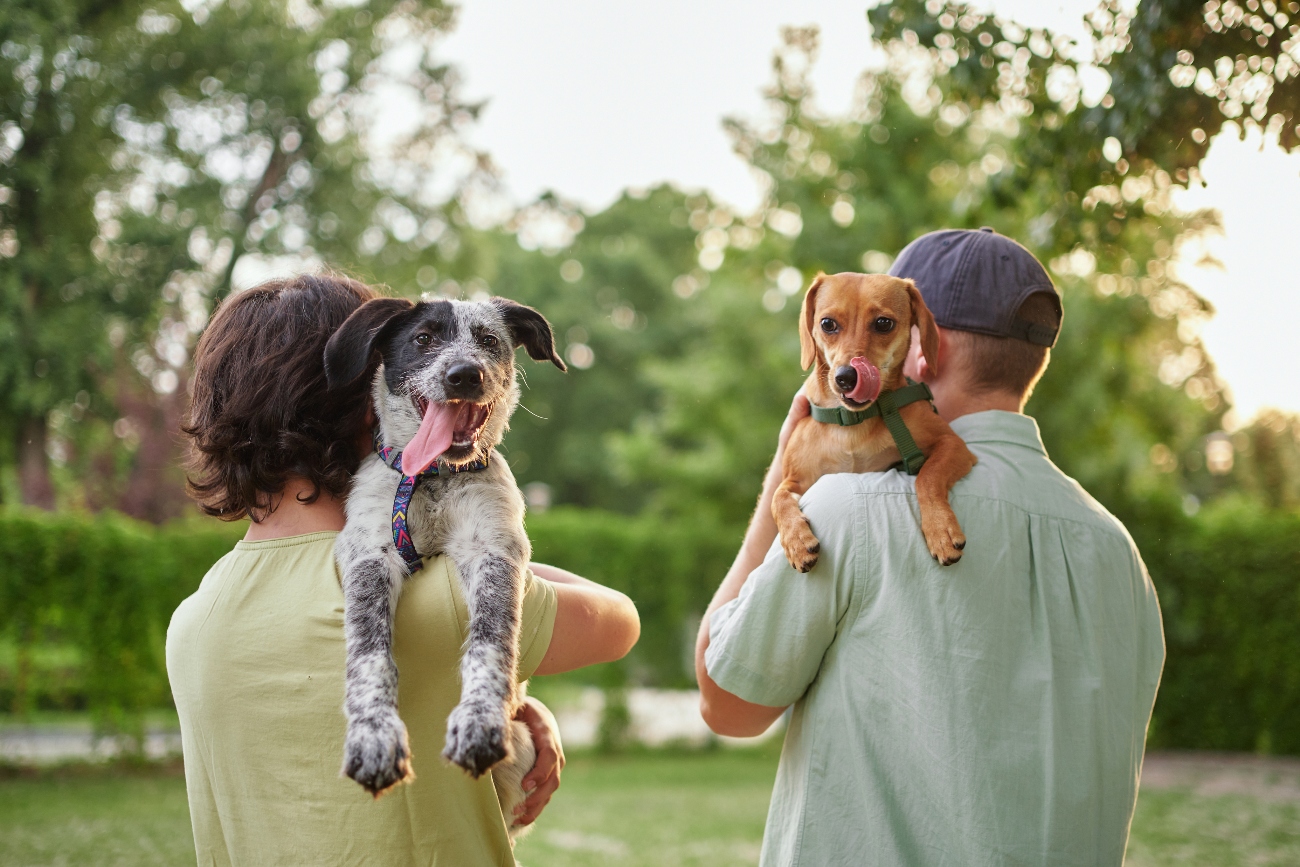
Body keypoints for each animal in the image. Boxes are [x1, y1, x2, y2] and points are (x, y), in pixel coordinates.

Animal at [322, 296, 561, 816]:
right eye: (423, 339)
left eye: (488, 339)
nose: (464, 374)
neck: (433, 477)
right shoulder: (370, 553)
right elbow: (369, 653)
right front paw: (374, 738)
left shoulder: (494, 550)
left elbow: (490, 643)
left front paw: (479, 722)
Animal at [769, 267, 977, 571]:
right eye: (827, 324)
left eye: (883, 323)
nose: (847, 377)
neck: (852, 423)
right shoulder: (796, 479)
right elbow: (778, 498)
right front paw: (795, 540)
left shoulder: (952, 444)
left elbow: (927, 477)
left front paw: (940, 530)